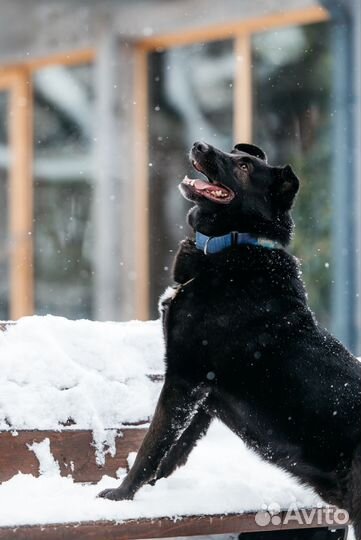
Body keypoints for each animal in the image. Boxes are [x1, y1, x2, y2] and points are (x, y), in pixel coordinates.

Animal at [97, 142, 360, 536]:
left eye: (244, 166)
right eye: (235, 154)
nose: (199, 144)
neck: (227, 248)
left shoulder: (184, 378)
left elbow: (152, 444)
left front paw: (120, 496)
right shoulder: (204, 391)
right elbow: (177, 447)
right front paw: (153, 490)